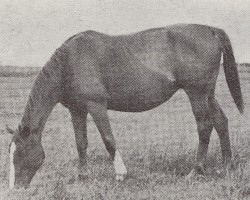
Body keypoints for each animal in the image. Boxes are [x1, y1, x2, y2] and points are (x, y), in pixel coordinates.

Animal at [6, 24, 243, 188]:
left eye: (20, 153)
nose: (14, 188)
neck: (70, 63)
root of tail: (211, 30)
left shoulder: (96, 105)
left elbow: (108, 139)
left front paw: (121, 173)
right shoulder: (77, 110)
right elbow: (81, 143)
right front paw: (82, 175)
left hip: (197, 93)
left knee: (204, 127)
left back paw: (196, 170)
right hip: (208, 93)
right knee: (221, 122)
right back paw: (227, 166)